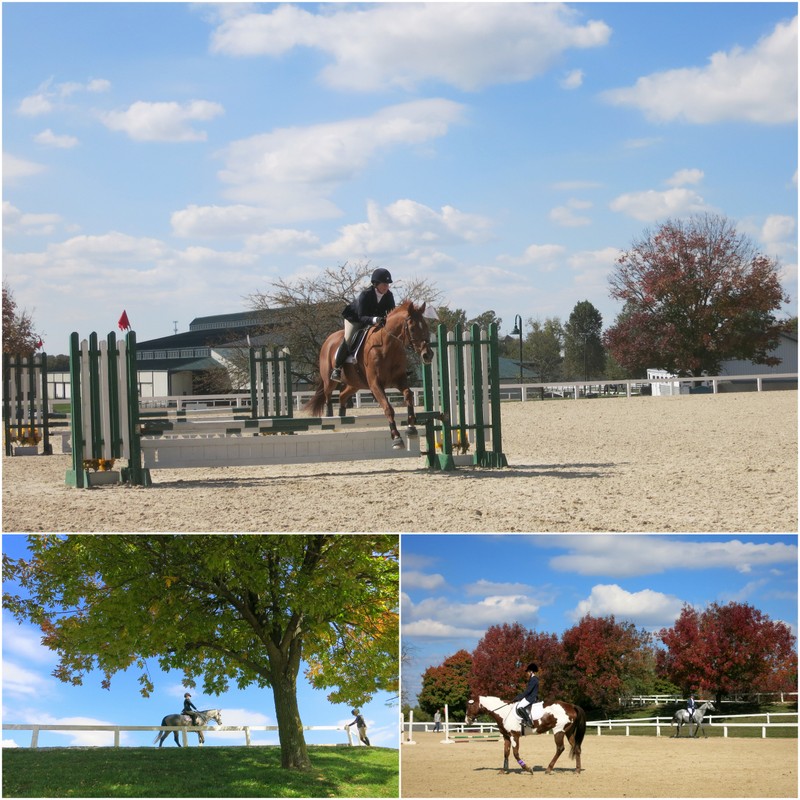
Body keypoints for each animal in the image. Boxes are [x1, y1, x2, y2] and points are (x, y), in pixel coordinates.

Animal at [304, 302, 434, 450]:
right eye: (412, 328)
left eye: (426, 326)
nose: (428, 355)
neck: (388, 346)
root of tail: (328, 340)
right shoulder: (375, 384)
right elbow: (388, 408)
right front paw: (396, 438)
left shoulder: (399, 380)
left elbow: (408, 395)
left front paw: (411, 427)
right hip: (330, 380)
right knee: (328, 394)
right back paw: (330, 419)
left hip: (355, 384)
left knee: (342, 395)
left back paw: (342, 419)